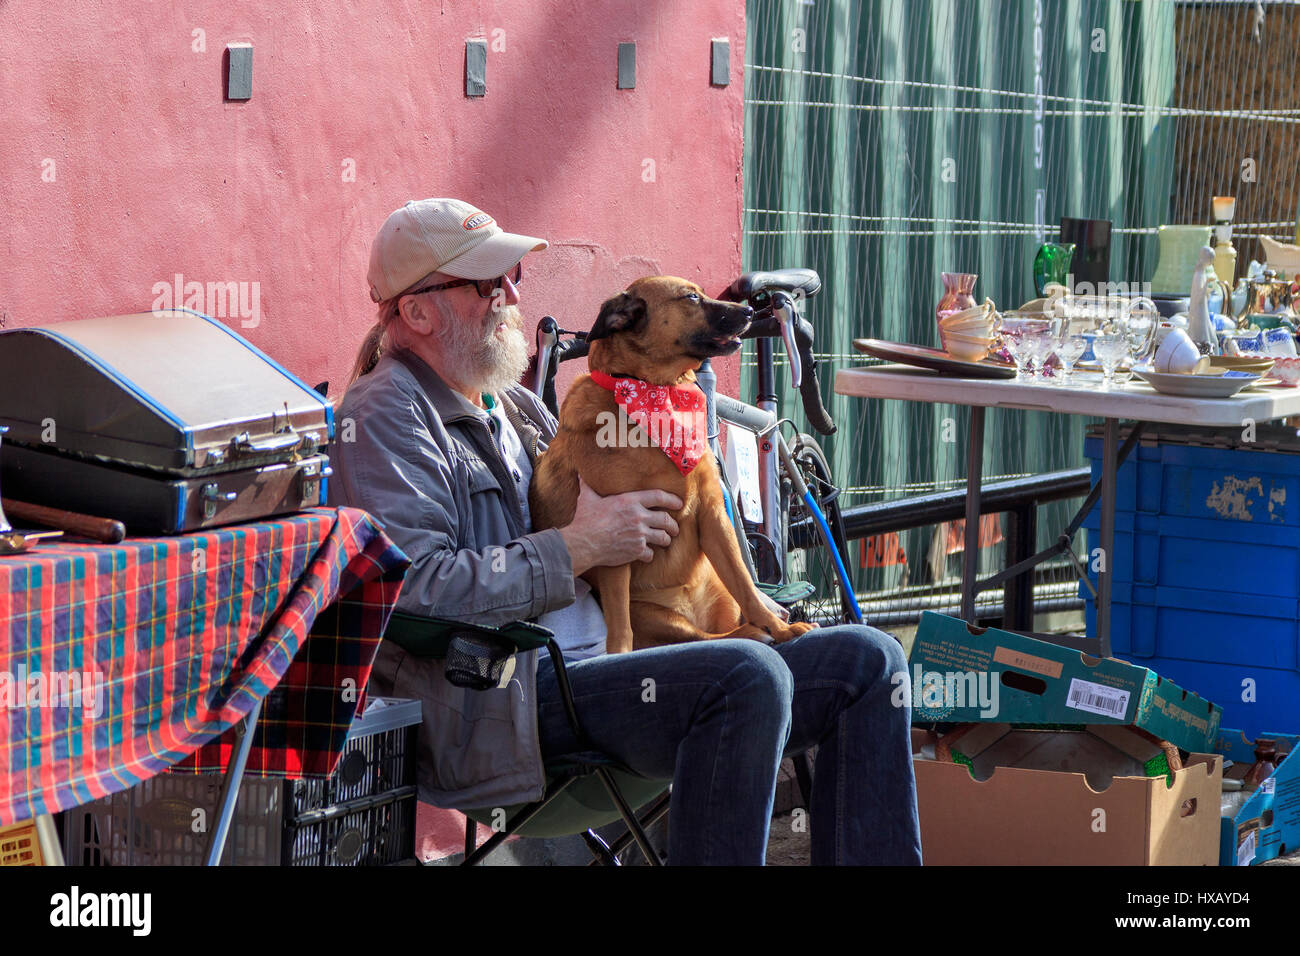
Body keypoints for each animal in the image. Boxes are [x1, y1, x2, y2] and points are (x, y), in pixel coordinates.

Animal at [527, 273, 811, 655]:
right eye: (691, 298)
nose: (751, 311)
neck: (656, 391)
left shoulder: (713, 514)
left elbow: (747, 586)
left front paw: (779, 628)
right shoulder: (617, 536)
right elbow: (619, 627)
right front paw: (618, 658)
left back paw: (761, 629)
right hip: (653, 615)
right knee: (697, 638)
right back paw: (749, 634)